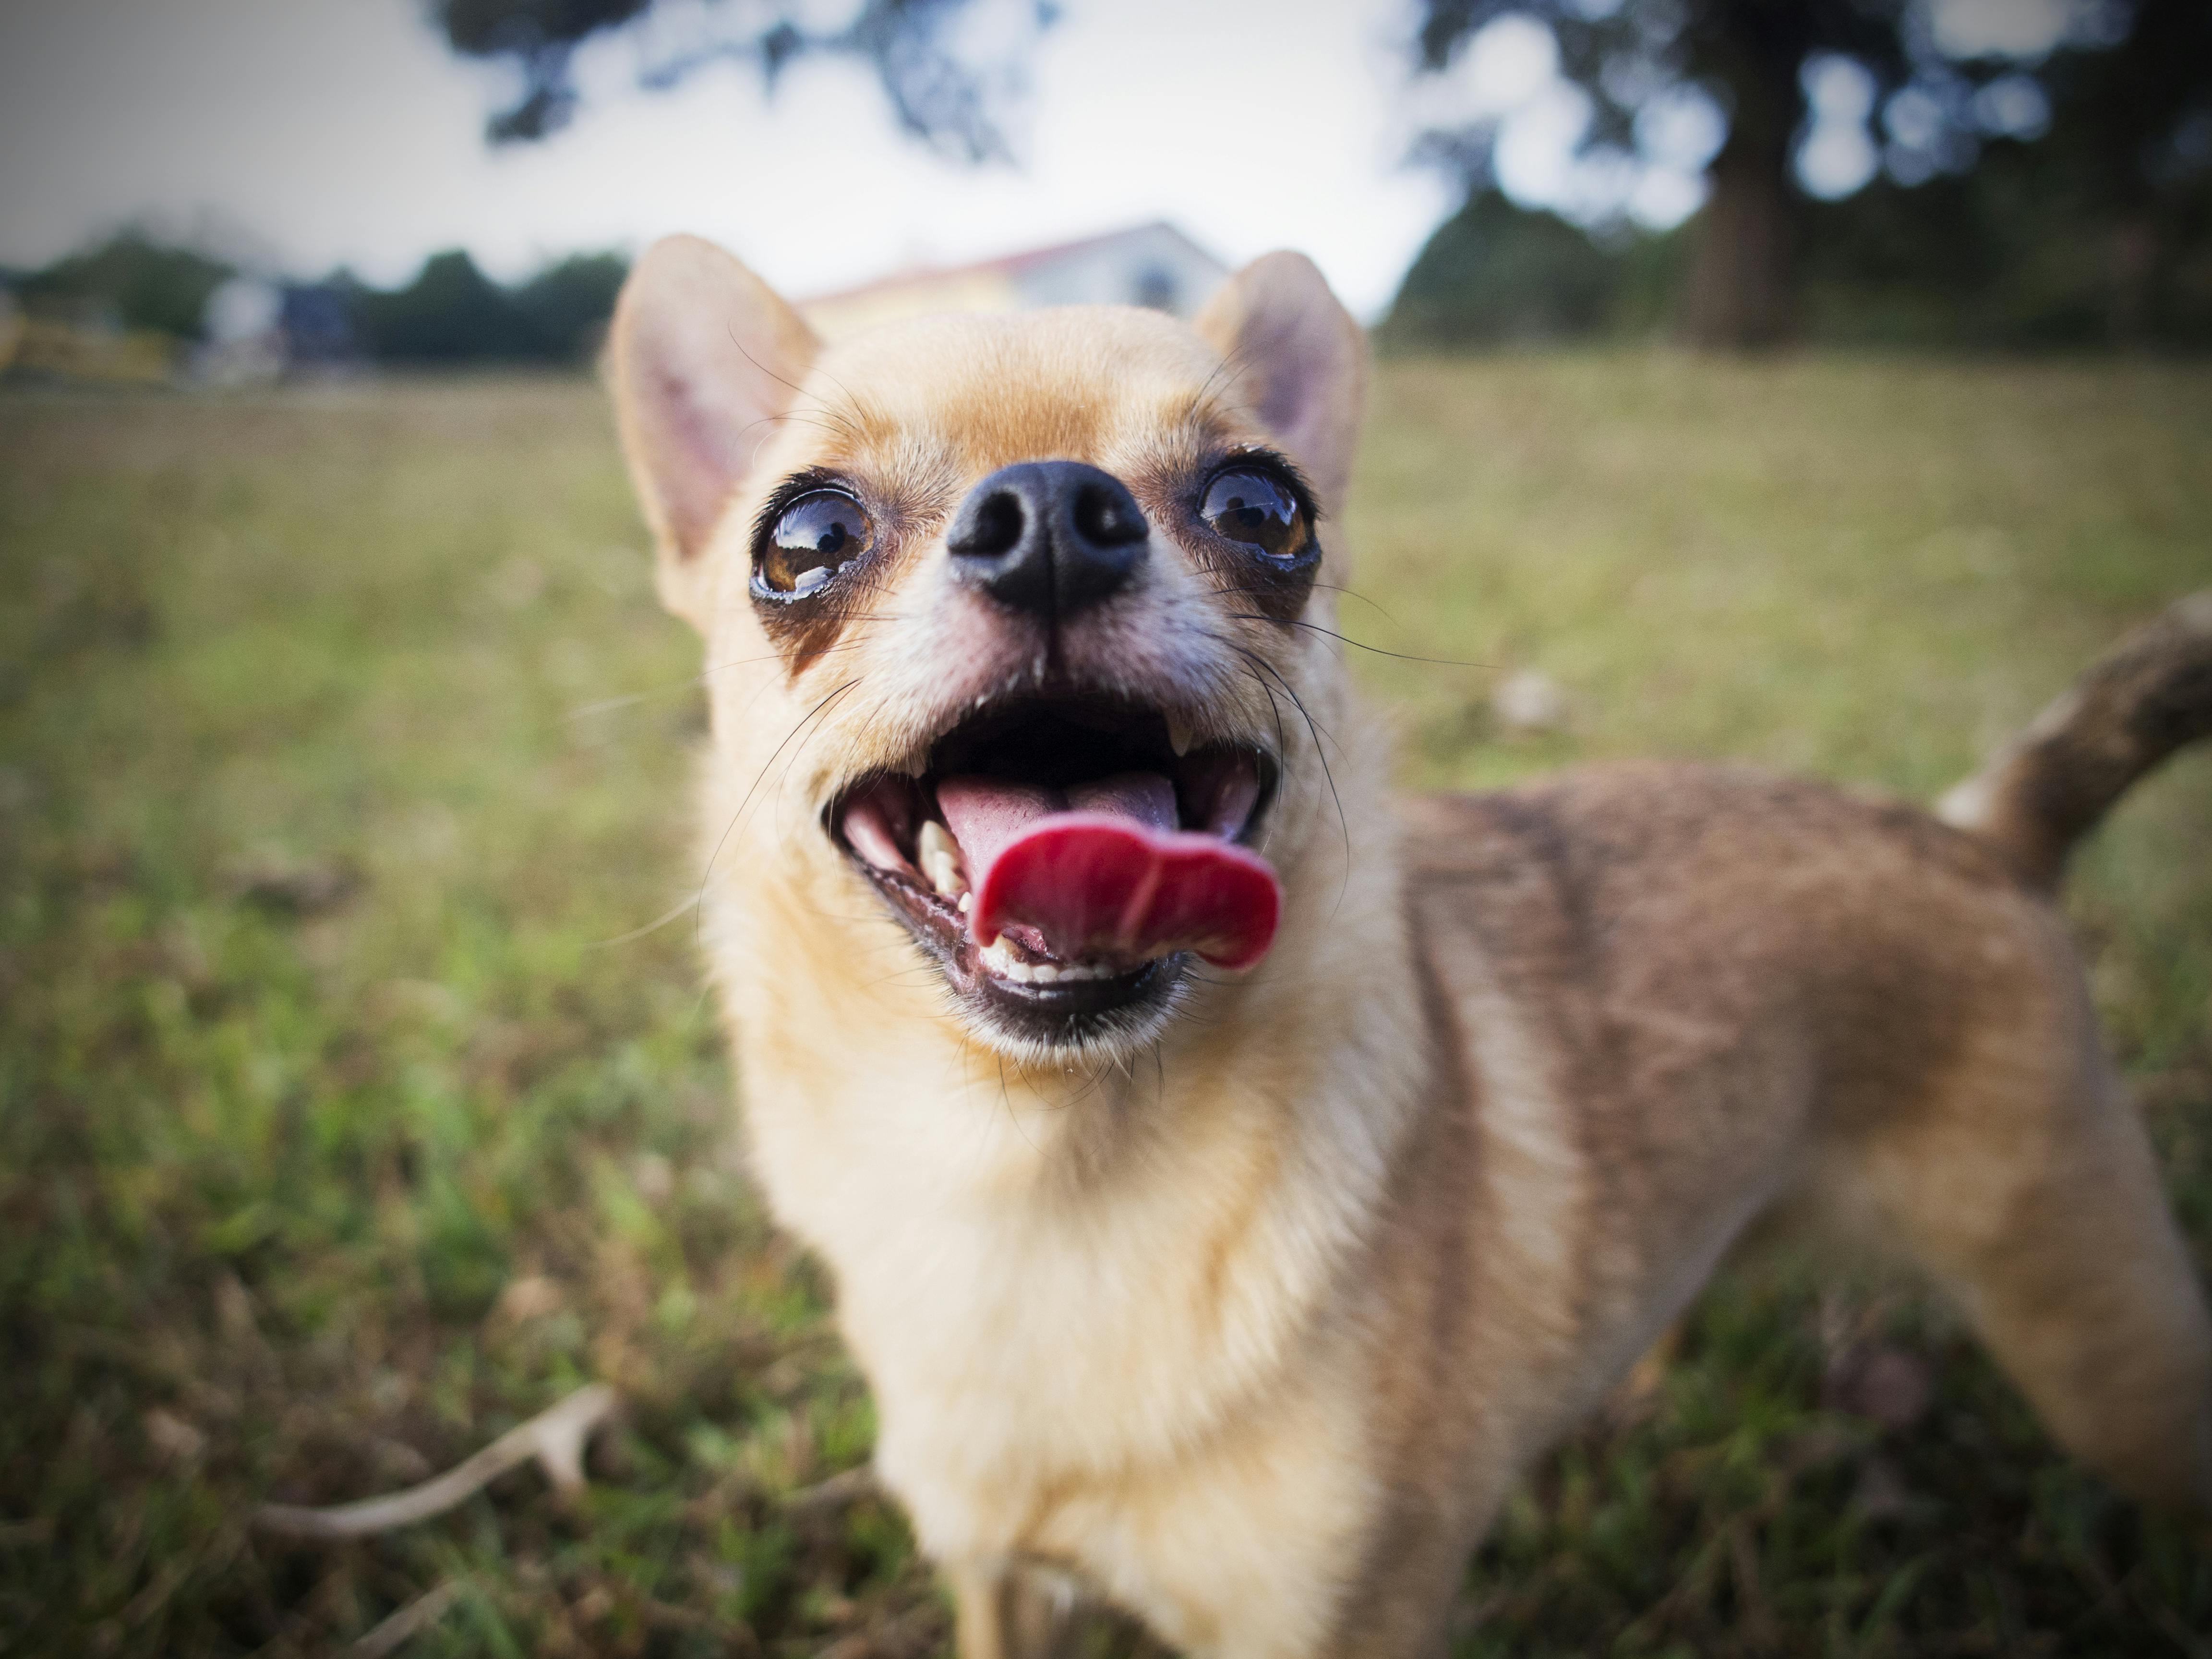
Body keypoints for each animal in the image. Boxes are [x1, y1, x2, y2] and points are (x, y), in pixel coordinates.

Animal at [606, 237, 2212, 1659]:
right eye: (803, 543)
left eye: (1266, 508)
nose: (1054, 510)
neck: (1046, 1181)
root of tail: (1985, 834)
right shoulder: (1003, 1586)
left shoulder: (1344, 1626)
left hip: (2110, 1363)